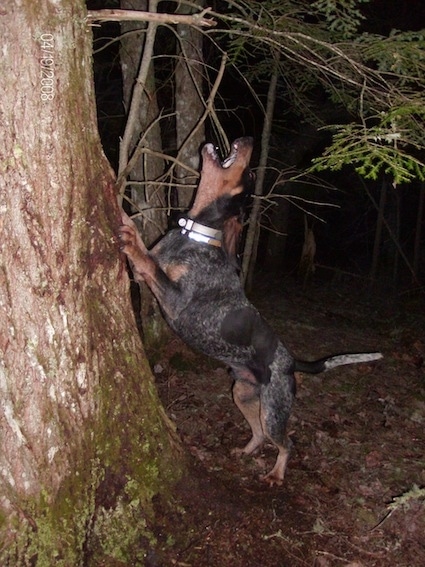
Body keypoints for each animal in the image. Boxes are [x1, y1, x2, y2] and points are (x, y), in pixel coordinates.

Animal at [118, 135, 380, 486]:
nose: (248, 139)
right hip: (241, 392)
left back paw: (276, 474)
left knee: (286, 442)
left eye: (252, 174)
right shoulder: (142, 279)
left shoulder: (176, 301)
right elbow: (144, 258)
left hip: (273, 408)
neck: (197, 234)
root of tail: (291, 363)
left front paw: (131, 236)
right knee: (257, 433)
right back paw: (245, 451)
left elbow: (147, 261)